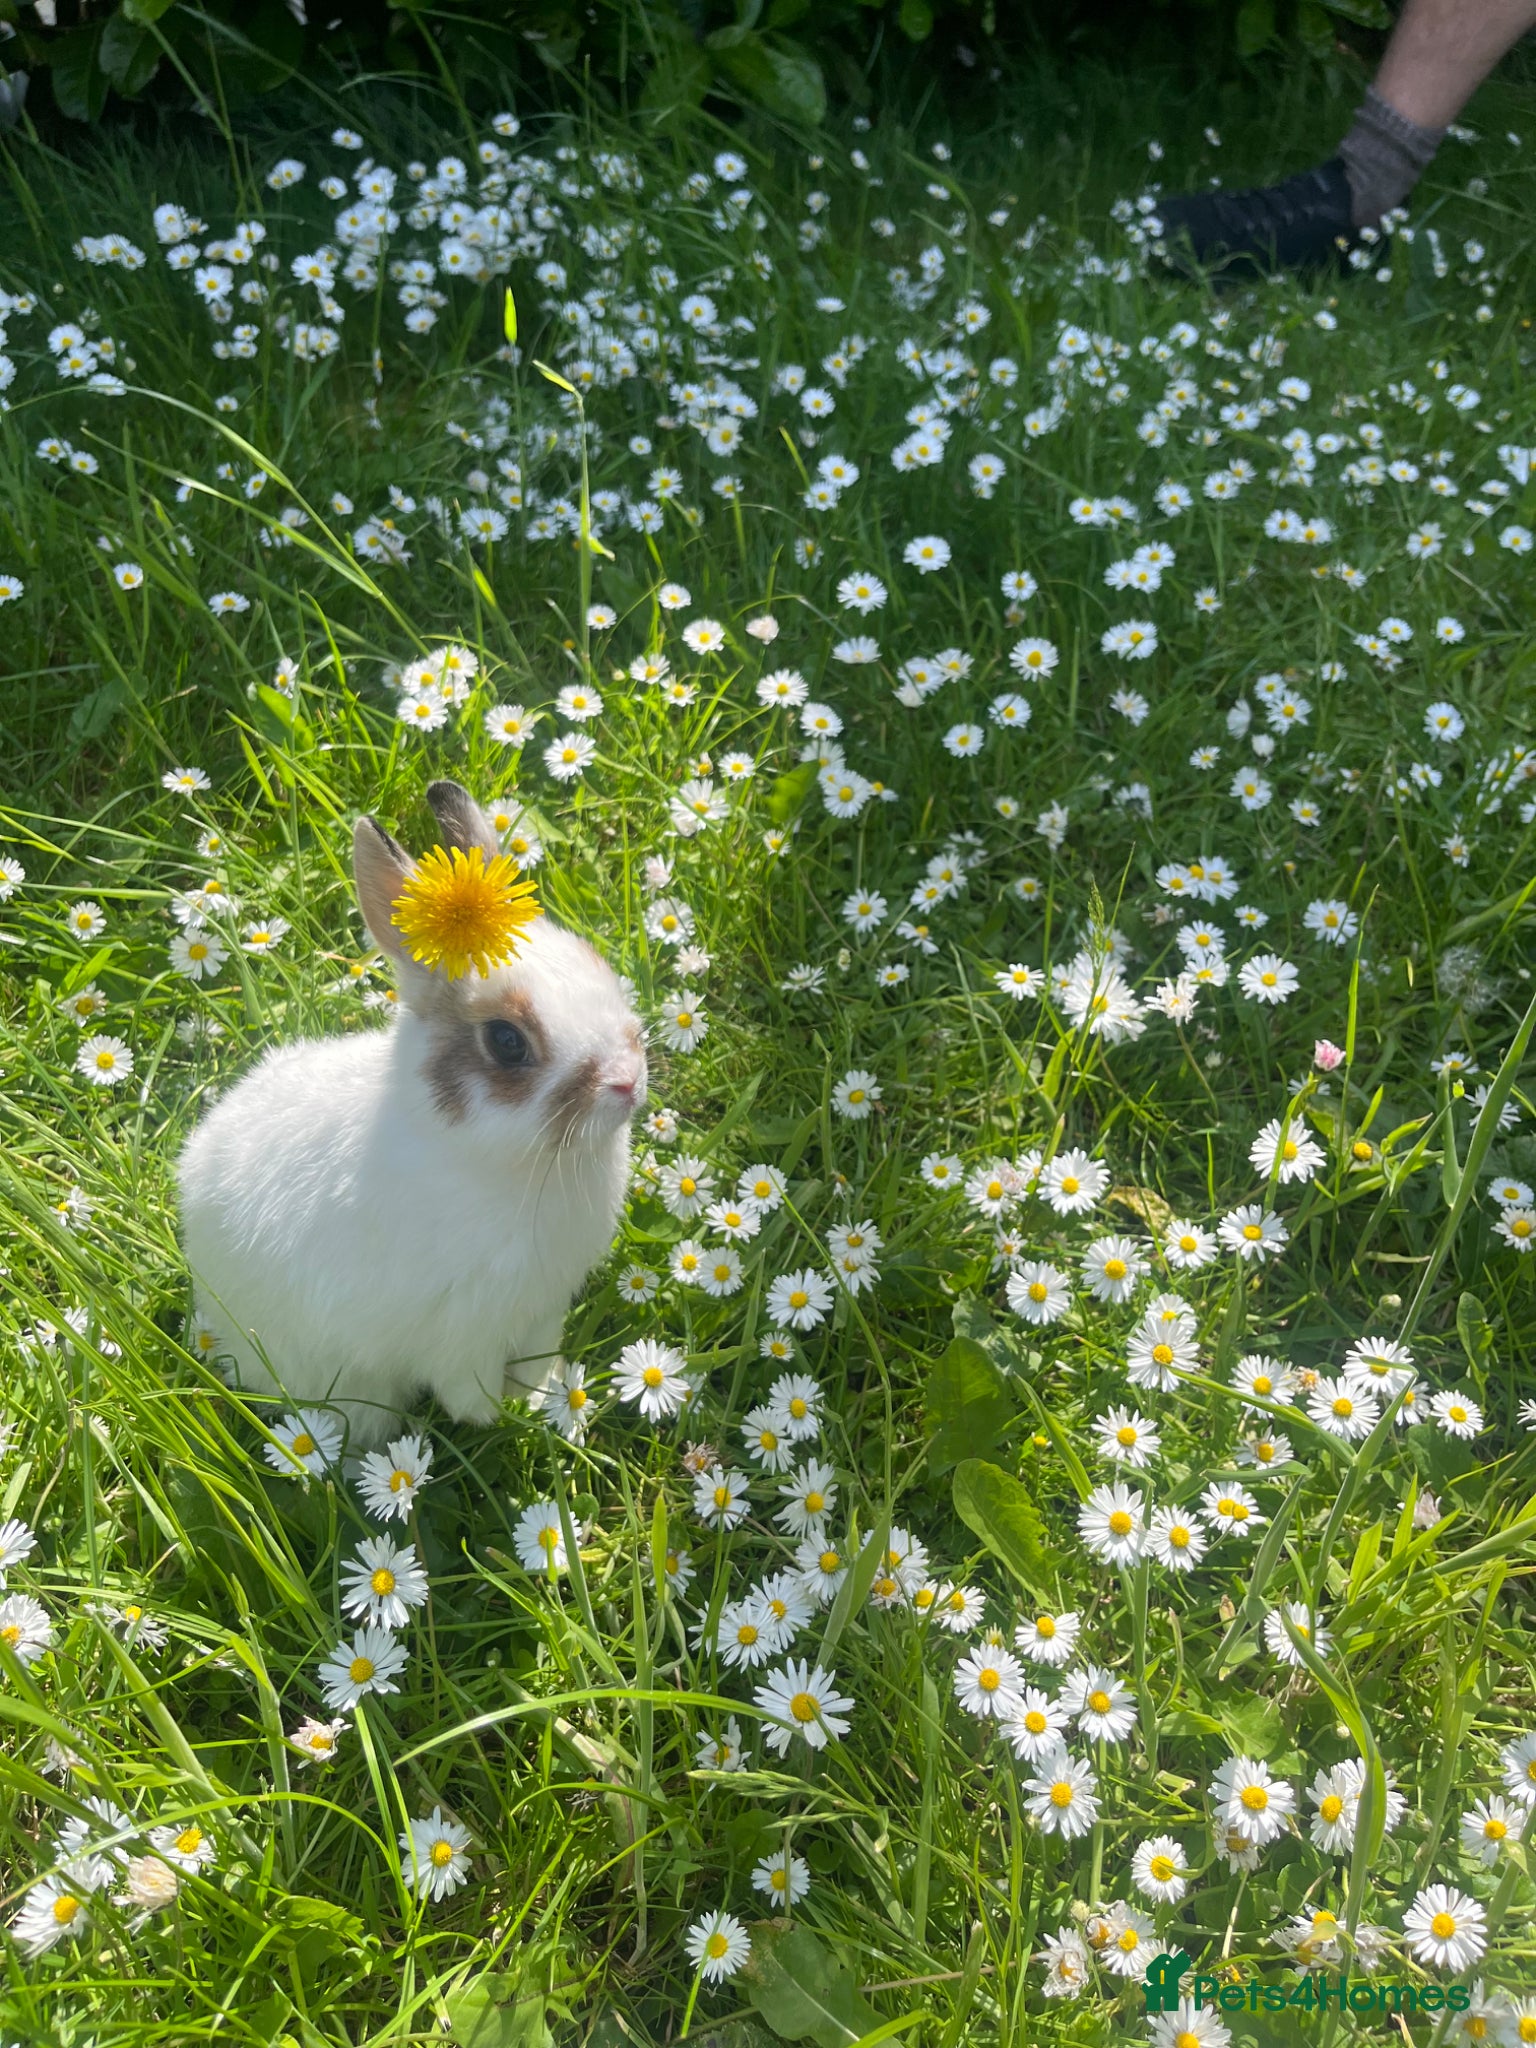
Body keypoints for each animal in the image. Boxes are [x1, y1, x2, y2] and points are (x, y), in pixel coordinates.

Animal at [177, 779, 647, 1447]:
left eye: (594, 961)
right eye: (507, 1041)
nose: (627, 1080)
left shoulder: (540, 1312)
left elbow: (535, 1364)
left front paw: (547, 1401)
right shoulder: (462, 1335)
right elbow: (469, 1391)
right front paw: (498, 1419)